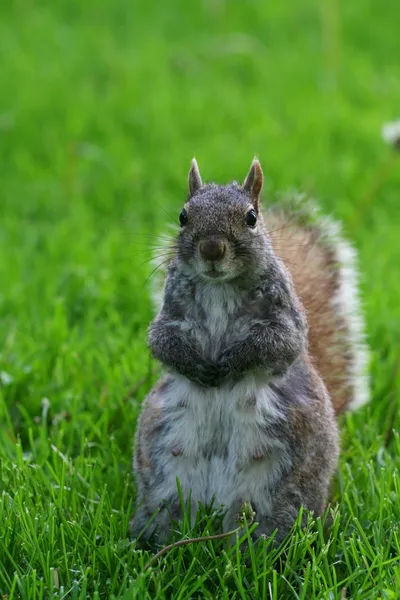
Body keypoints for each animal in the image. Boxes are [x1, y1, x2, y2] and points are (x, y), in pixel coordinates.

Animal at [130, 157, 368, 548]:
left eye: (251, 218)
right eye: (183, 216)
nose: (212, 249)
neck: (219, 287)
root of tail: (213, 501)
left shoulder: (284, 320)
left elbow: (277, 343)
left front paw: (229, 364)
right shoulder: (169, 317)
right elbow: (163, 342)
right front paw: (200, 368)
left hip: (280, 493)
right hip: (165, 476)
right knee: (168, 512)